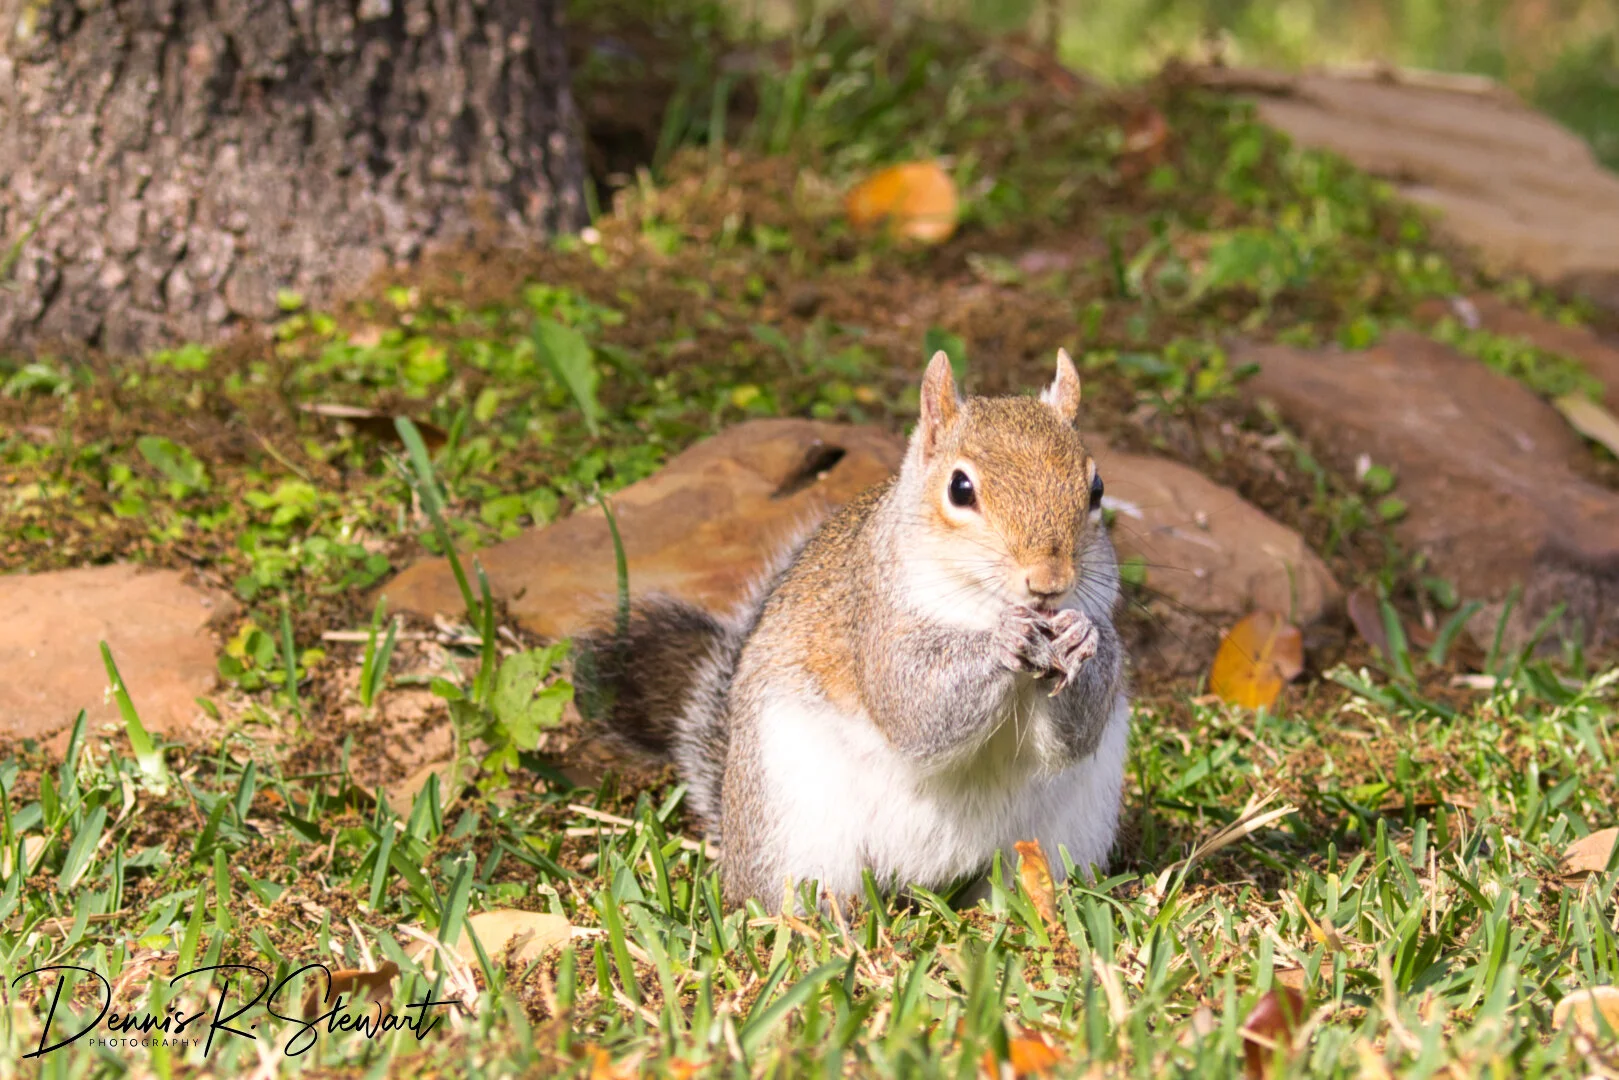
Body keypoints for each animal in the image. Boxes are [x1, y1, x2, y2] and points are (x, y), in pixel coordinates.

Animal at [576, 350, 1129, 911]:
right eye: (960, 488)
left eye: (1097, 489)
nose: (1049, 582)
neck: (979, 606)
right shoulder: (874, 621)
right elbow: (913, 706)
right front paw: (1004, 638)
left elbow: (1076, 735)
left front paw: (1082, 637)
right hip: (792, 820)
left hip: (1066, 830)